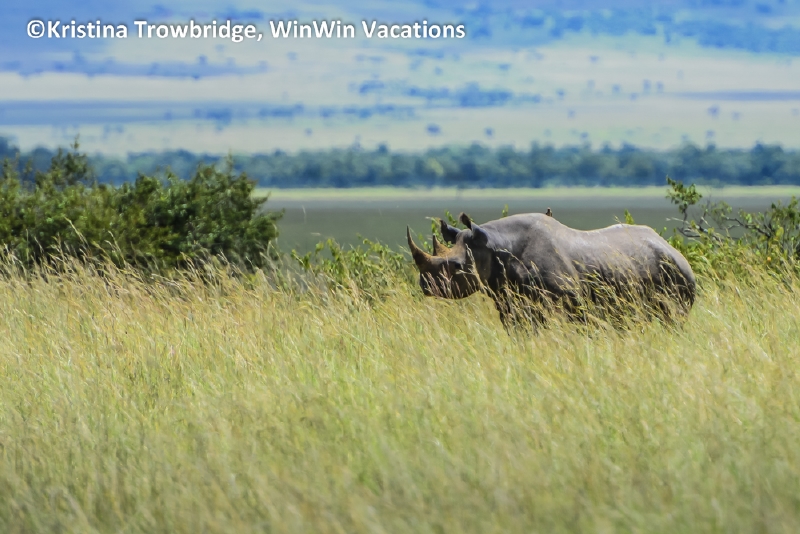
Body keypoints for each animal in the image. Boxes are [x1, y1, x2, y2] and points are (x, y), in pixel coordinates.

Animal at [406, 212, 696, 327]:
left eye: (456, 266)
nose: (425, 286)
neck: (493, 245)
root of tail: (673, 248)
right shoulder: (510, 303)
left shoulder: (571, 302)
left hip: (676, 273)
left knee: (673, 319)